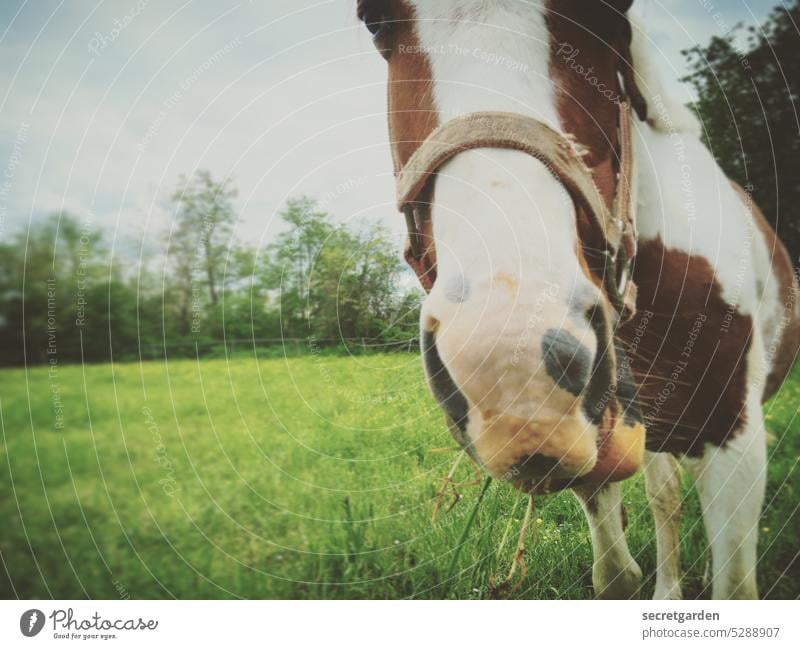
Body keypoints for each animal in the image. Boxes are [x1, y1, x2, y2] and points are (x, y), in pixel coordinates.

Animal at [358, 0, 800, 596]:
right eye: (375, 21)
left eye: (612, 12)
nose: (513, 361)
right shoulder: (595, 443)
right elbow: (616, 574)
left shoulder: (736, 442)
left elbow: (734, 585)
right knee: (665, 495)